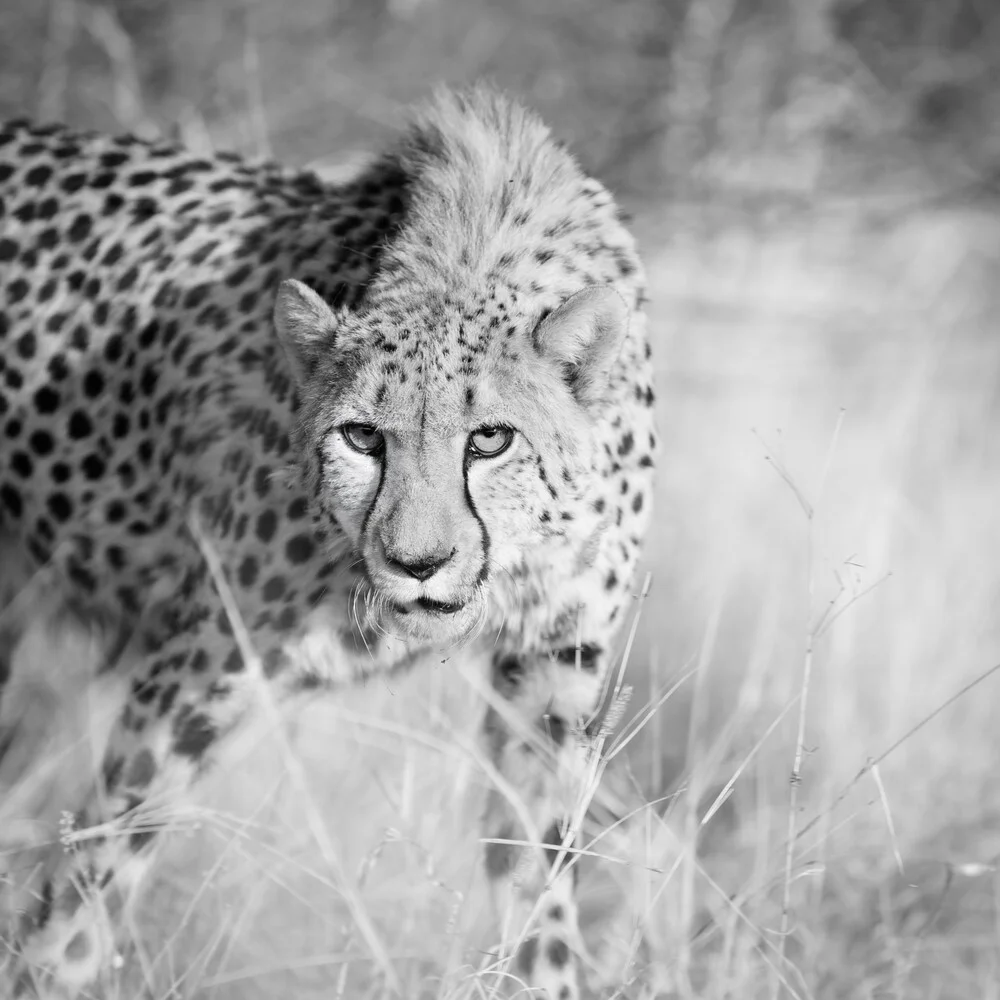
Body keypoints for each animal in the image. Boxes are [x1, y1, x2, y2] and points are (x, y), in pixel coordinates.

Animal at [0, 88, 656, 1000]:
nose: (419, 564)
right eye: (362, 437)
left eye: (491, 439)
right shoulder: (202, 671)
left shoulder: (549, 673)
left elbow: (541, 893)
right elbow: (83, 891)